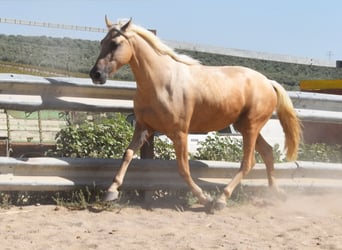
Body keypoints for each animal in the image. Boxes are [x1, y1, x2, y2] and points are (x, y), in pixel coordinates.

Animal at [89, 16, 300, 210]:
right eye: (101, 42)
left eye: (115, 44)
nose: (96, 74)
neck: (161, 82)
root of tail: (268, 82)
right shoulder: (143, 128)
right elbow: (128, 154)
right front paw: (111, 192)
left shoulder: (179, 133)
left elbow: (183, 168)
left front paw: (204, 198)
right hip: (245, 127)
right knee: (268, 153)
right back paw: (277, 193)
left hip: (251, 127)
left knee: (248, 162)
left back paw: (220, 200)